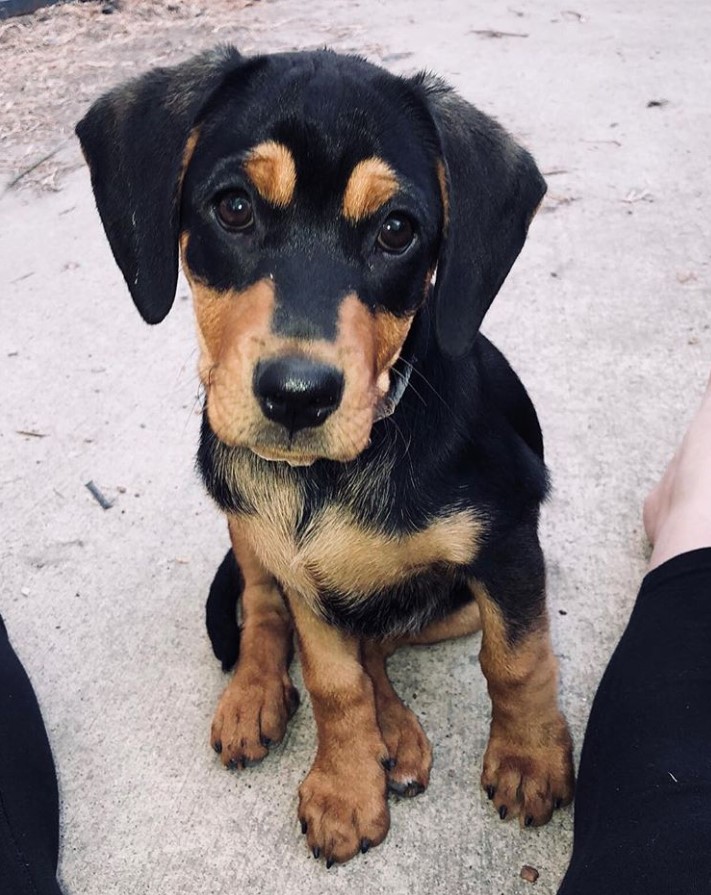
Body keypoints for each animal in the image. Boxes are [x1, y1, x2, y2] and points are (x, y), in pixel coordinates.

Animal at [76, 45, 580, 864]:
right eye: (235, 208)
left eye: (397, 230)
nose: (297, 396)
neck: (331, 477)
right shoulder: (294, 562)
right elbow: (331, 679)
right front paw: (346, 787)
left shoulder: (507, 542)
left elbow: (517, 659)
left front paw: (530, 758)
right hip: (239, 510)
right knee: (263, 606)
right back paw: (262, 698)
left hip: (454, 605)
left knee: (385, 636)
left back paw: (395, 736)